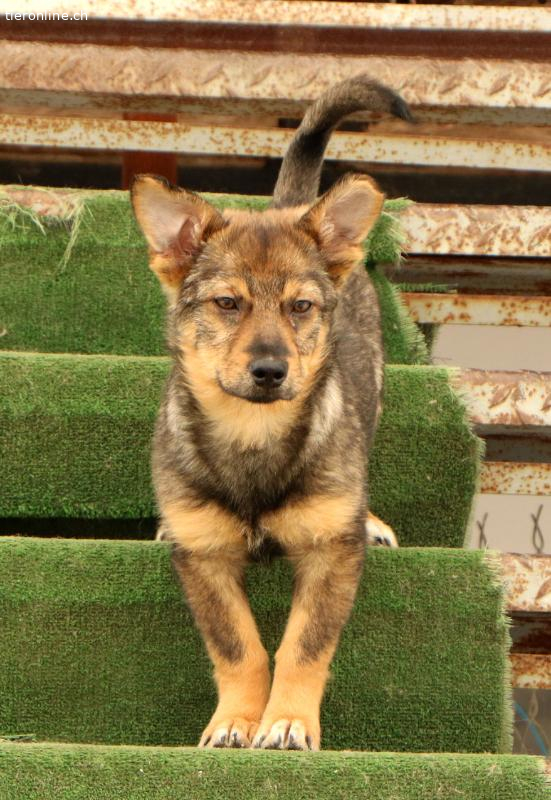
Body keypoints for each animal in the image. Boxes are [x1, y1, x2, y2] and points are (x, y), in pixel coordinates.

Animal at [131, 75, 409, 751]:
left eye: (300, 307)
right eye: (227, 303)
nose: (269, 370)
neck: (252, 434)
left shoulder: (330, 555)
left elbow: (303, 647)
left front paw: (286, 722)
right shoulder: (204, 560)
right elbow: (239, 647)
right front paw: (235, 720)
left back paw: (372, 519)